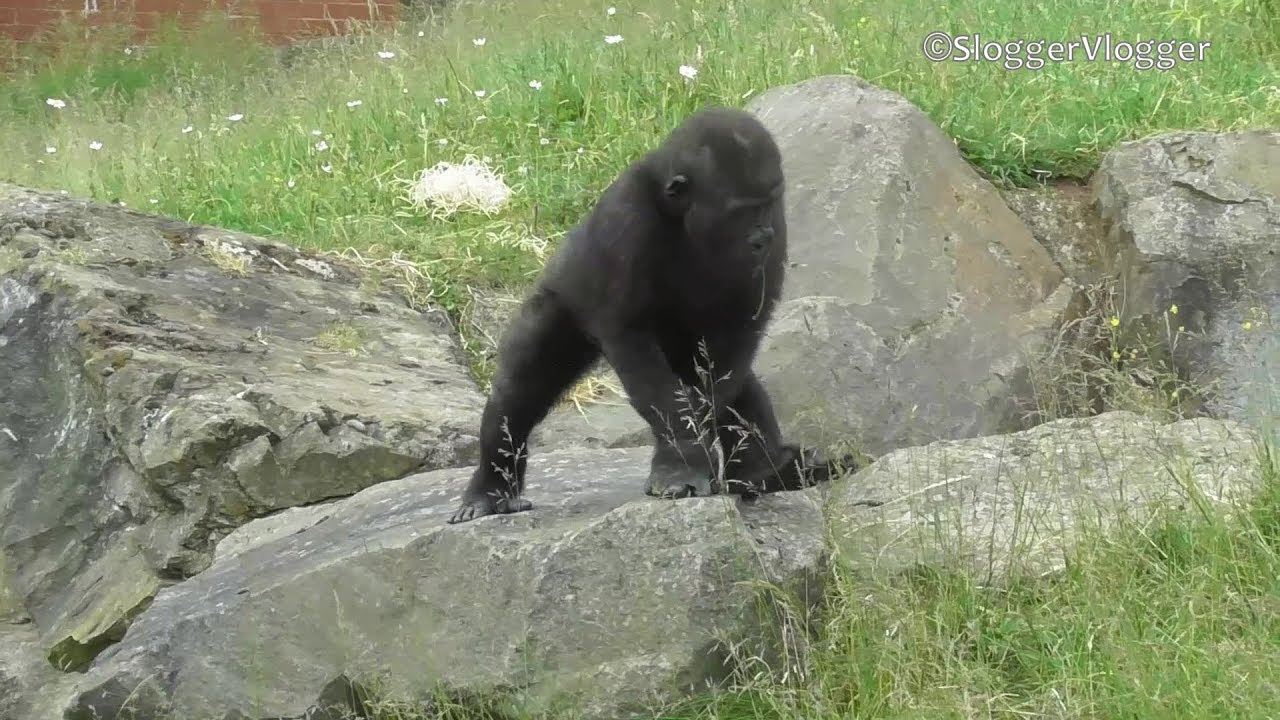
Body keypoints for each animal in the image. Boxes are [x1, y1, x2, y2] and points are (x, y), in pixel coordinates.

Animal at [448, 106, 859, 525]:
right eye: (741, 212)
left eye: (766, 204)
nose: (762, 237)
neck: (679, 211)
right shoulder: (625, 217)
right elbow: (634, 347)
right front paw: (683, 458)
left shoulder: (778, 223)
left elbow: (738, 337)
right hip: (559, 301)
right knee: (520, 389)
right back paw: (490, 489)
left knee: (733, 381)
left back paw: (766, 471)